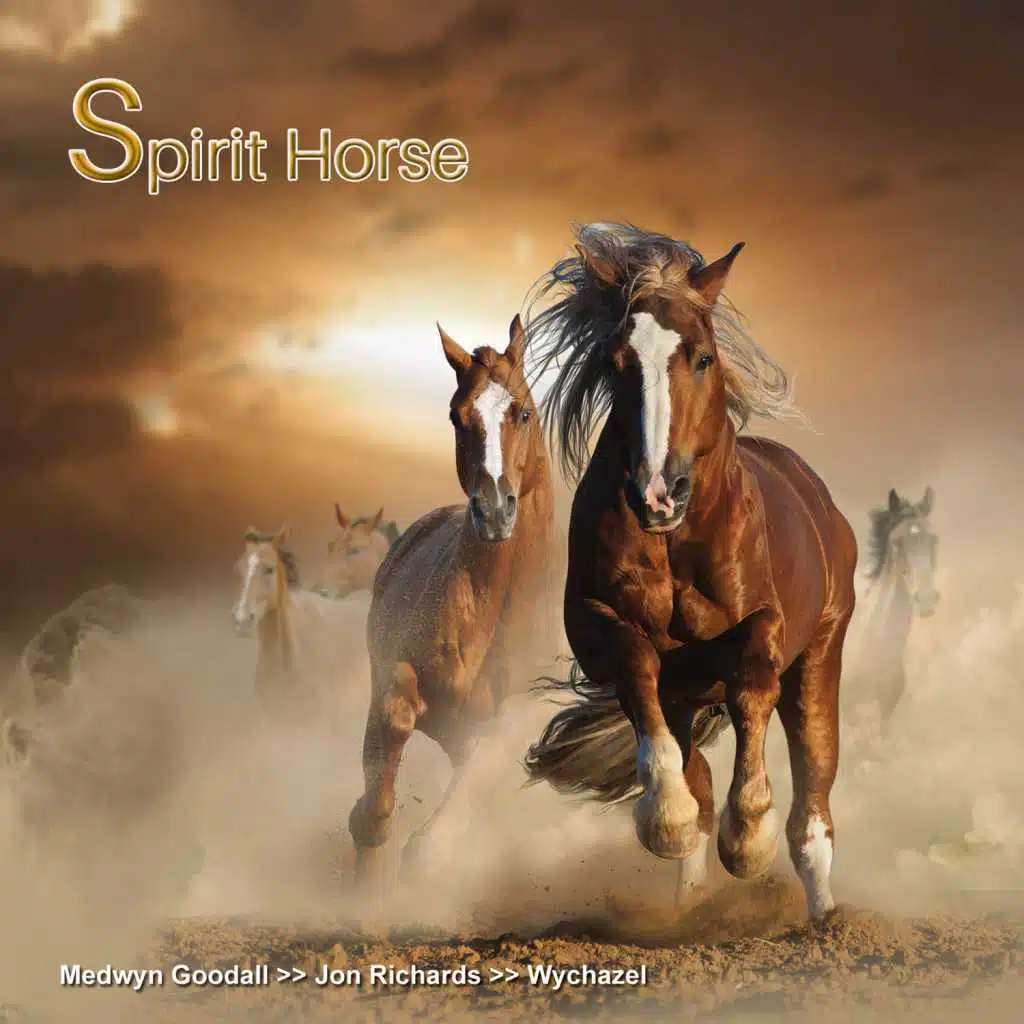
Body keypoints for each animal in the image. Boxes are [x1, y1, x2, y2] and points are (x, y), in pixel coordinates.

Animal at [347, 314, 557, 886]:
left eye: (523, 412)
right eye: (457, 416)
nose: (494, 511)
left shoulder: (503, 722)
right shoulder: (397, 675)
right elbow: (394, 718)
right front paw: (369, 828)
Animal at [521, 223, 858, 920]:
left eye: (701, 357)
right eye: (616, 362)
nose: (657, 493)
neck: (677, 544)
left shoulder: (766, 625)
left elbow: (752, 687)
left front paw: (748, 837)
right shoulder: (600, 627)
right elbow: (639, 677)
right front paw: (667, 820)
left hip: (821, 653)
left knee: (814, 793)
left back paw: (823, 915)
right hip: (687, 694)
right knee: (694, 765)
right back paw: (691, 894)